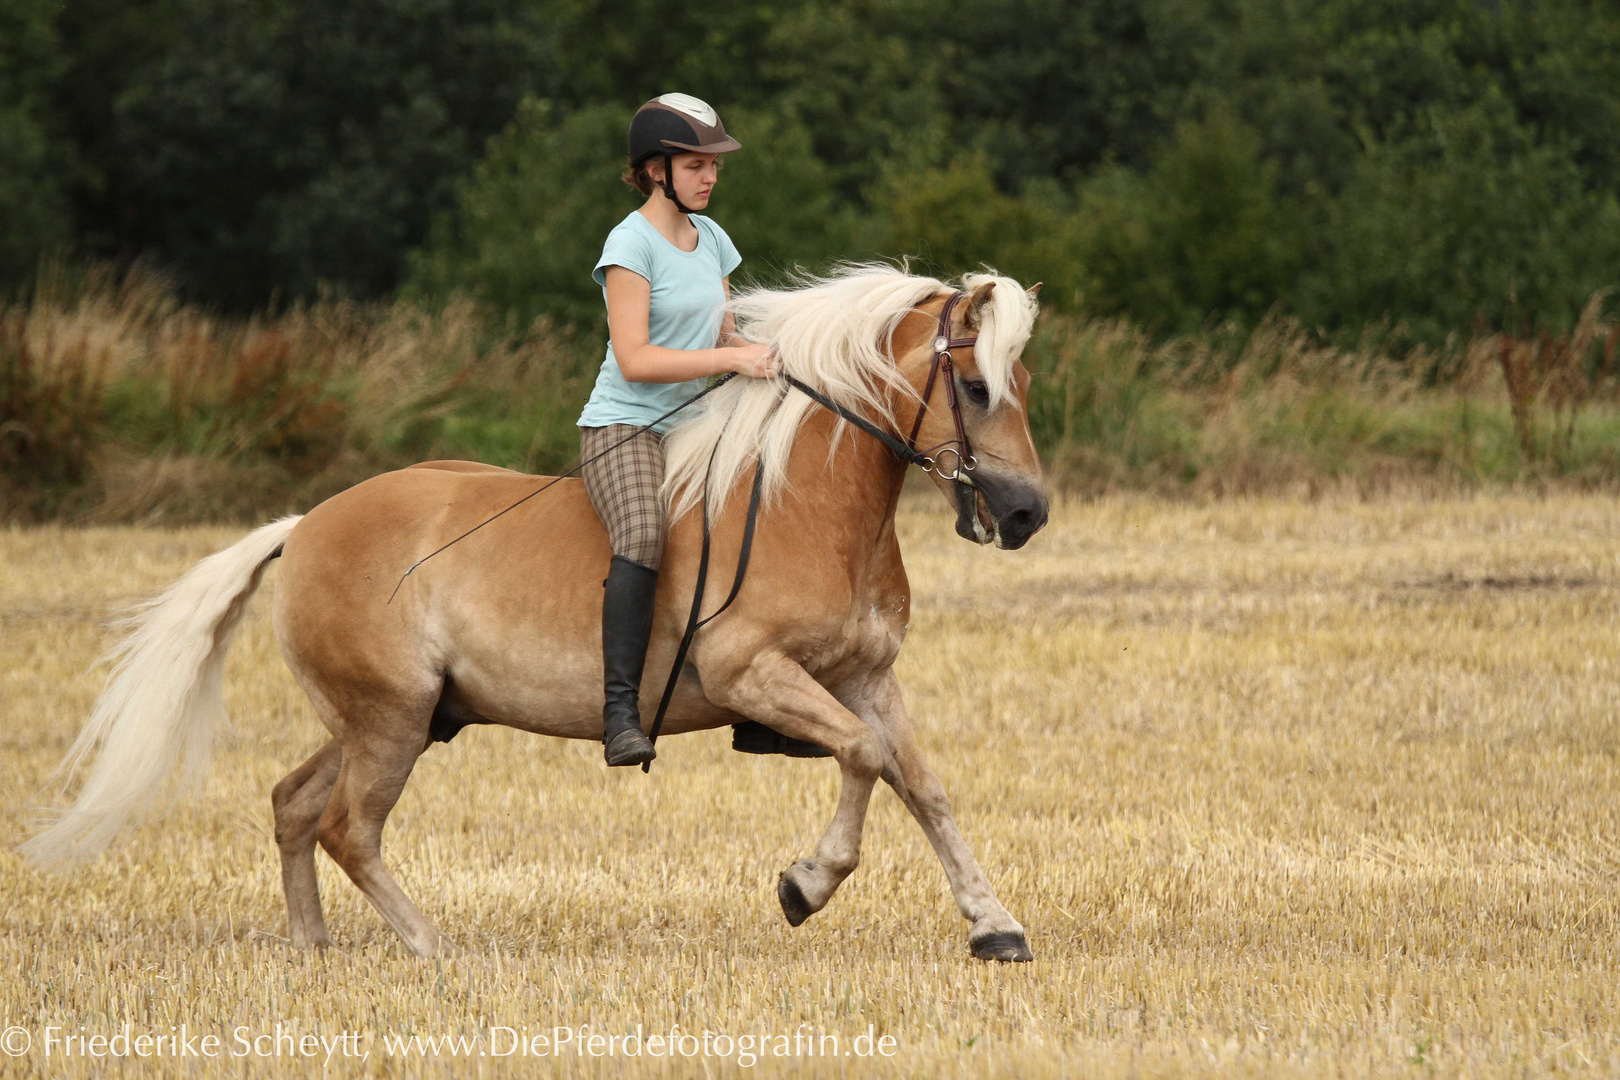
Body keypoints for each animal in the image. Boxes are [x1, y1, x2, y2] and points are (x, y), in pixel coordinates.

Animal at [22, 265, 1049, 965]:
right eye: (977, 388)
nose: (1028, 515)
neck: (813, 503)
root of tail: (305, 524)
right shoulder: (758, 674)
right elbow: (866, 759)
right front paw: (807, 884)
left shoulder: (865, 676)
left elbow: (923, 785)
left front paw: (993, 925)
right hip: (390, 720)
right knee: (349, 827)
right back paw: (432, 946)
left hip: (395, 717)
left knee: (293, 804)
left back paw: (314, 945)